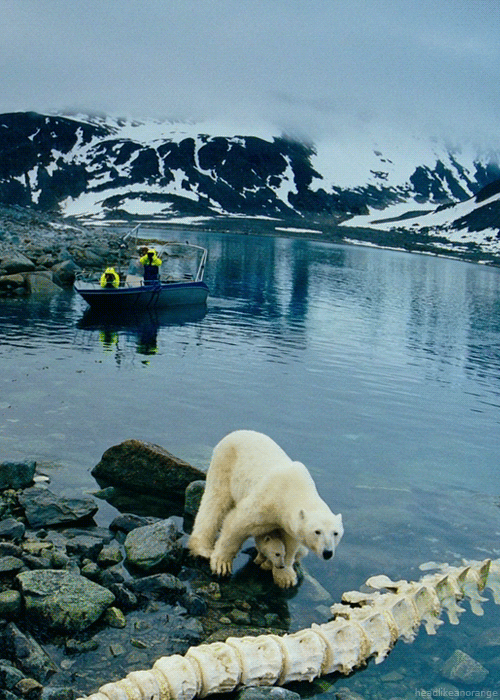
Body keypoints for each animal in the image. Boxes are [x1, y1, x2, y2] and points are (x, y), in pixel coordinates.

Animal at [187, 430, 343, 588]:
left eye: (336, 533)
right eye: (317, 531)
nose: (327, 552)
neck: (294, 489)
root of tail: (237, 432)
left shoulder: (288, 524)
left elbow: (291, 544)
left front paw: (285, 576)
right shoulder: (266, 500)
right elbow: (236, 524)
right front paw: (222, 564)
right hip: (225, 464)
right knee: (215, 501)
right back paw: (202, 548)